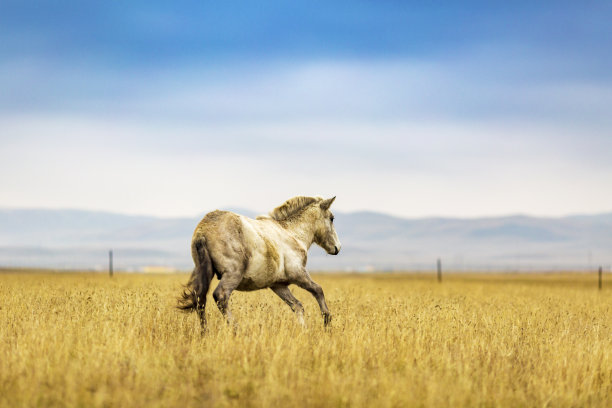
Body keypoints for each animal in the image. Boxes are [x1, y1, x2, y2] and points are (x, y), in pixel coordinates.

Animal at [177, 196, 342, 330]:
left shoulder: (278, 285)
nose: (337, 248)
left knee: (200, 301)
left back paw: (205, 332)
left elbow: (297, 305)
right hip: (232, 275)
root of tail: (203, 230)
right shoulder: (298, 273)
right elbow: (318, 290)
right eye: (332, 218)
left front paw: (304, 330)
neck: (291, 234)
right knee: (220, 296)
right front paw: (327, 321)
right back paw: (236, 329)